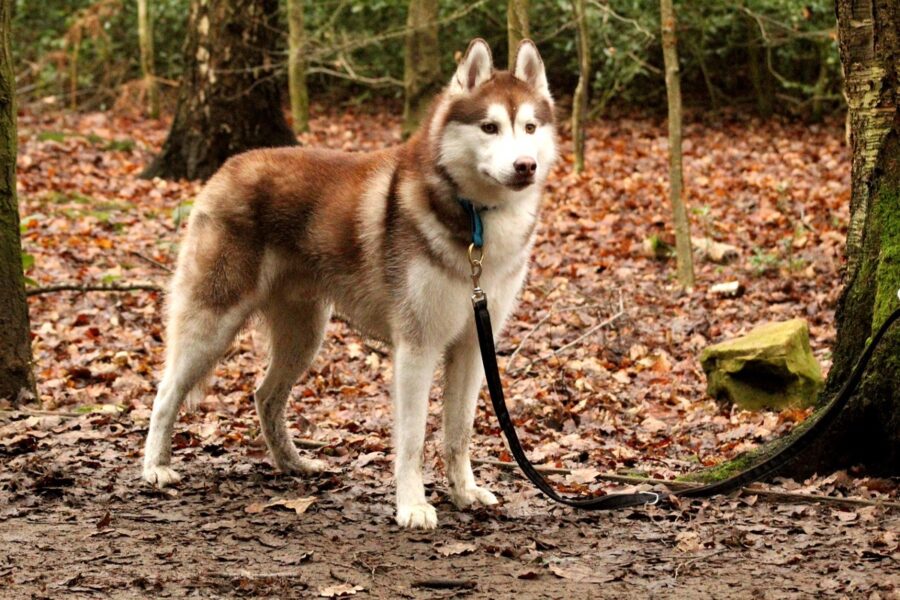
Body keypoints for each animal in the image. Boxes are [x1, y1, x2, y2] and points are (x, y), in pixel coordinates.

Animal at [142, 37, 556, 528]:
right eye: (490, 127)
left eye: (529, 127)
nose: (525, 166)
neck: (475, 221)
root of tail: (230, 165)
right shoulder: (416, 348)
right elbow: (413, 440)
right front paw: (413, 505)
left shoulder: (473, 345)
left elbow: (459, 432)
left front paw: (464, 492)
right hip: (213, 323)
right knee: (166, 392)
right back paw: (155, 466)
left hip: (305, 336)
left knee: (265, 396)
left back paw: (293, 463)